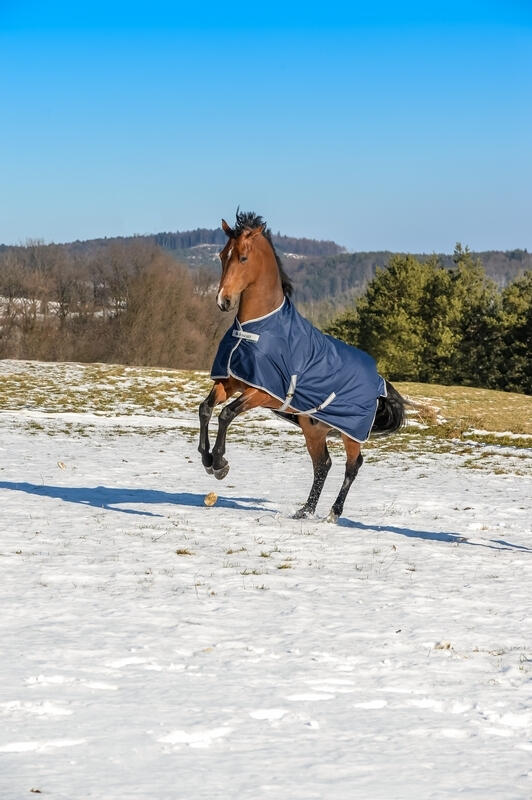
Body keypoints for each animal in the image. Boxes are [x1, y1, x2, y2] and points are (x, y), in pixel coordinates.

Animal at [198, 211, 406, 523]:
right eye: (223, 255)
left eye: (243, 258)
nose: (223, 300)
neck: (255, 329)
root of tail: (379, 379)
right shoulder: (231, 381)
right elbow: (206, 409)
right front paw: (207, 458)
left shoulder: (264, 392)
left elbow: (226, 414)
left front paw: (220, 463)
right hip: (314, 428)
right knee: (323, 464)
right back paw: (305, 510)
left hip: (350, 433)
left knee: (353, 465)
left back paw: (333, 513)